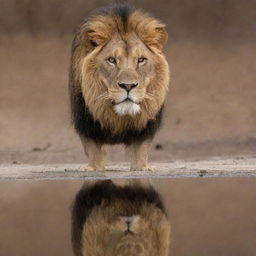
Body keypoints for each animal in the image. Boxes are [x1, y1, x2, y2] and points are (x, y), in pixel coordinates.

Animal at [69, 4, 169, 171]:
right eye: (111, 60)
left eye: (141, 60)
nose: (128, 86)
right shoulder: (86, 123)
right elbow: (93, 149)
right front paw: (93, 168)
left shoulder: (145, 129)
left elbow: (141, 149)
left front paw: (142, 168)